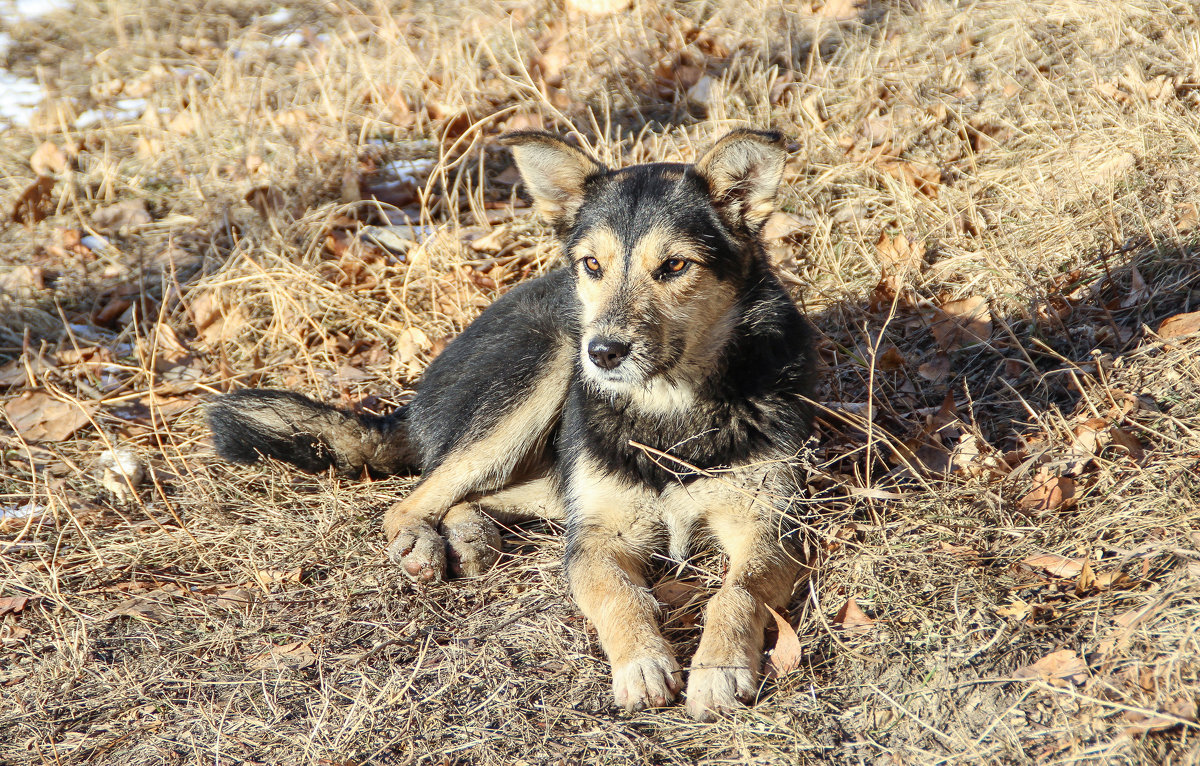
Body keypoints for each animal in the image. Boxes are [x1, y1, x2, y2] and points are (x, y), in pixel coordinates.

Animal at [211, 129, 820, 725]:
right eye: (592, 265)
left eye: (674, 267)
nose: (603, 353)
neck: (669, 409)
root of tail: (414, 399)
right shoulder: (597, 537)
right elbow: (619, 596)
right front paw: (643, 663)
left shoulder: (771, 527)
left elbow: (734, 594)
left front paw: (718, 669)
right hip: (545, 367)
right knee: (414, 498)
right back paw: (422, 543)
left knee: (477, 496)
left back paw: (470, 535)